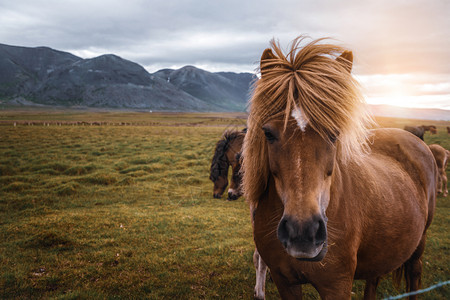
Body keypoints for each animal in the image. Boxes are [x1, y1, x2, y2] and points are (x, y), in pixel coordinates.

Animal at [243, 37, 436, 300]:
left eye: (334, 135)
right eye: (269, 133)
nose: (302, 232)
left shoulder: (337, 284)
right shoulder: (284, 281)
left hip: (419, 243)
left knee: (415, 273)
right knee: (374, 278)